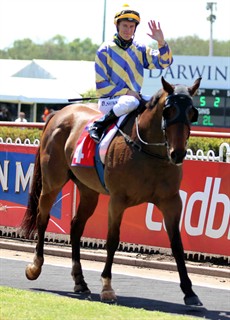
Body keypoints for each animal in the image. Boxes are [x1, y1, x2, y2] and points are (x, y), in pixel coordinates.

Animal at [20, 76, 202, 306]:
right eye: (168, 111)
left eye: (192, 113)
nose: (177, 153)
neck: (148, 151)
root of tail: (58, 113)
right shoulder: (118, 201)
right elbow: (113, 240)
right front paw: (107, 287)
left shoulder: (171, 202)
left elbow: (177, 245)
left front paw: (189, 291)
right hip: (52, 183)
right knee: (43, 218)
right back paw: (35, 266)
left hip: (88, 191)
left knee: (76, 226)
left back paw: (80, 280)